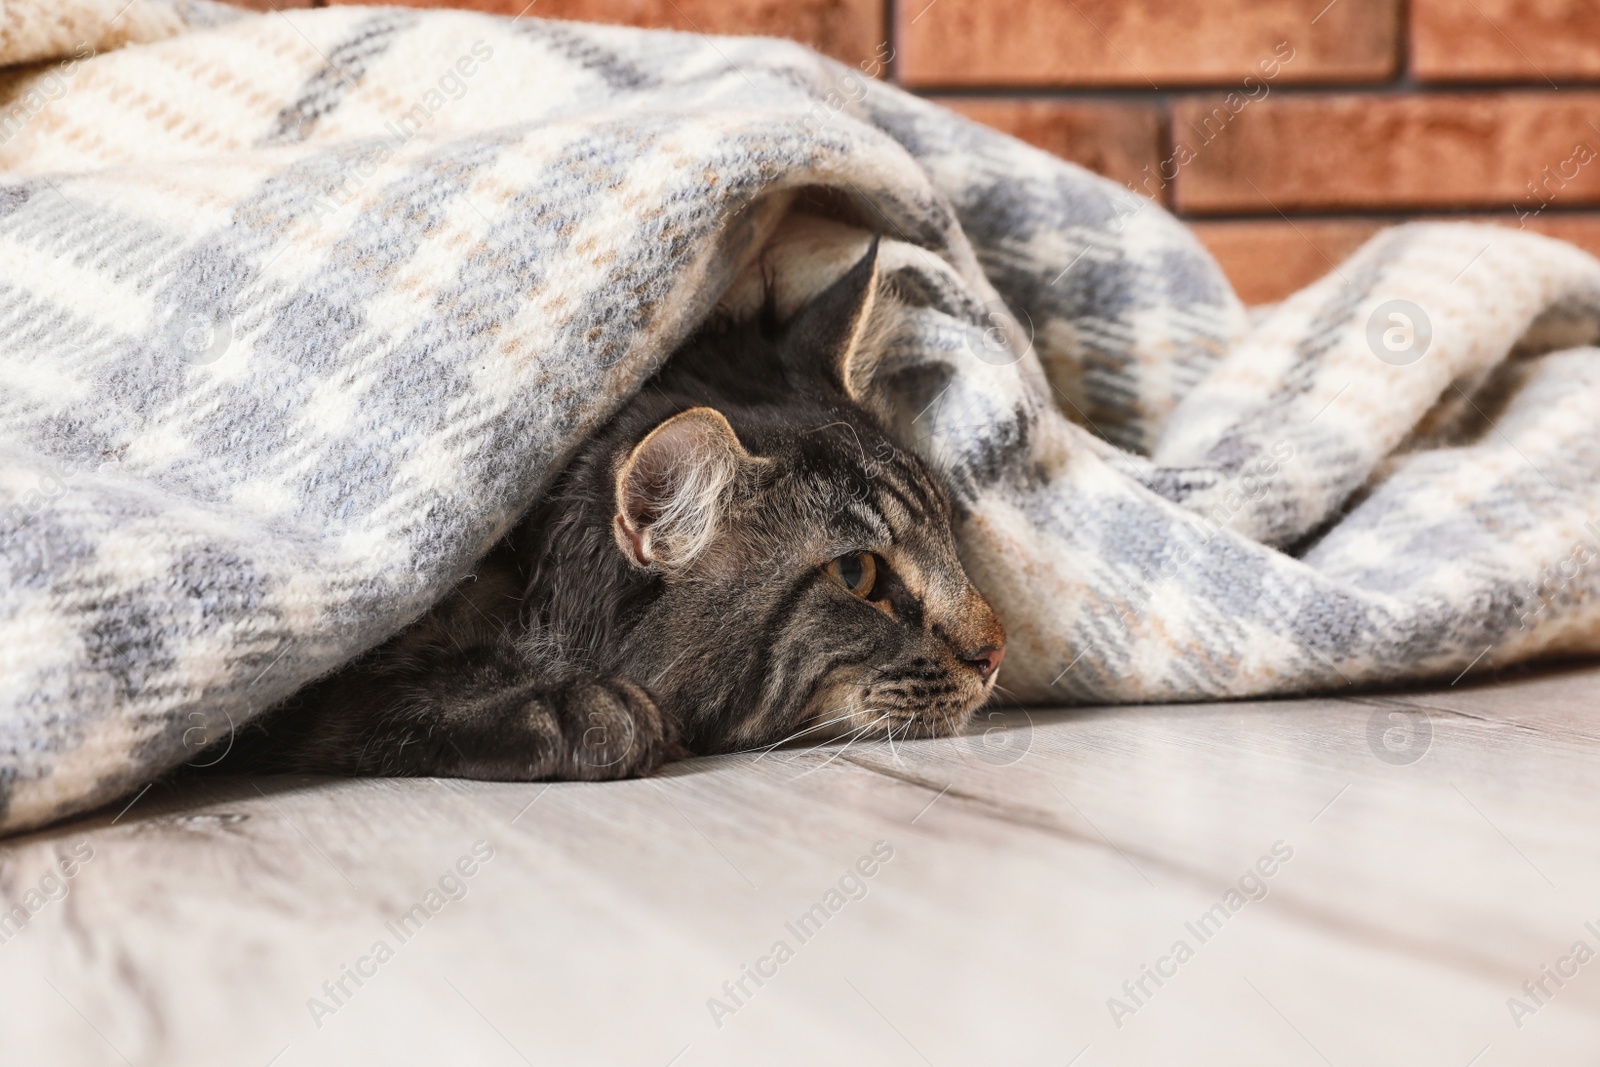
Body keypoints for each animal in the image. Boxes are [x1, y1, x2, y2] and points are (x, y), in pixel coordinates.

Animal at [228, 238, 998, 780]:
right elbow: (417, 693)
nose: (997, 651)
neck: (525, 577)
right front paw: (579, 704)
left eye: (946, 528)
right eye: (858, 577)